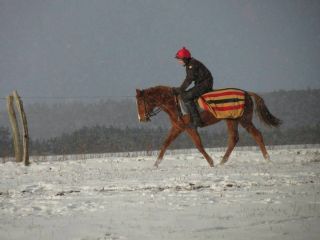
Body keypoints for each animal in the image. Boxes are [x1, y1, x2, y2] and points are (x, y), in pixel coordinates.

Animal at [136, 86, 282, 167]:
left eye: (140, 102)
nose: (141, 119)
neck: (173, 103)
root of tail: (246, 93)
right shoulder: (178, 127)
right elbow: (165, 143)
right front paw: (156, 163)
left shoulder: (189, 127)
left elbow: (199, 145)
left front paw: (211, 162)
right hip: (232, 120)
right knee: (234, 138)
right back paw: (223, 161)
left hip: (243, 120)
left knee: (256, 135)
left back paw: (267, 159)